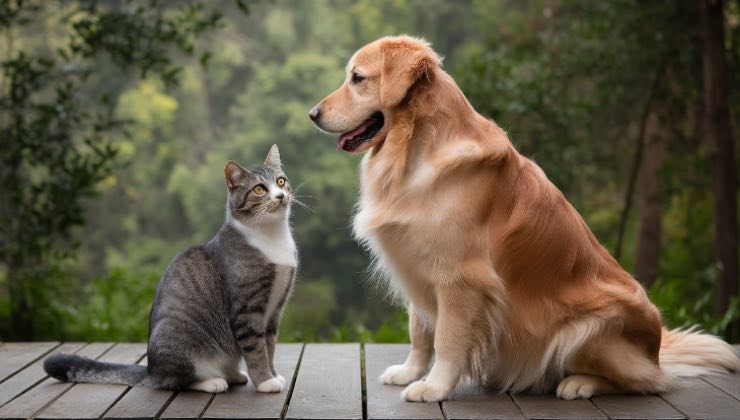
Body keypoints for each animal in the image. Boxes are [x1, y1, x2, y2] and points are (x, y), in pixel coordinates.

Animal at [43, 144, 296, 394]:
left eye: (281, 181)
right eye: (260, 189)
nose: (280, 196)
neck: (272, 235)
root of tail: (151, 371)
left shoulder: (275, 309)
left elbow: (269, 346)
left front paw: (273, 374)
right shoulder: (247, 309)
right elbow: (256, 349)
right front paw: (265, 381)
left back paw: (233, 374)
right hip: (178, 340)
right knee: (178, 380)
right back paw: (212, 382)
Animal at [308, 36, 740, 404]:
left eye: (357, 78)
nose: (312, 114)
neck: (415, 149)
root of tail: (655, 349)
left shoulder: (460, 277)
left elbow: (446, 337)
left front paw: (434, 387)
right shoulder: (417, 263)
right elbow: (419, 329)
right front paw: (410, 372)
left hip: (586, 329)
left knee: (646, 382)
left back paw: (579, 383)